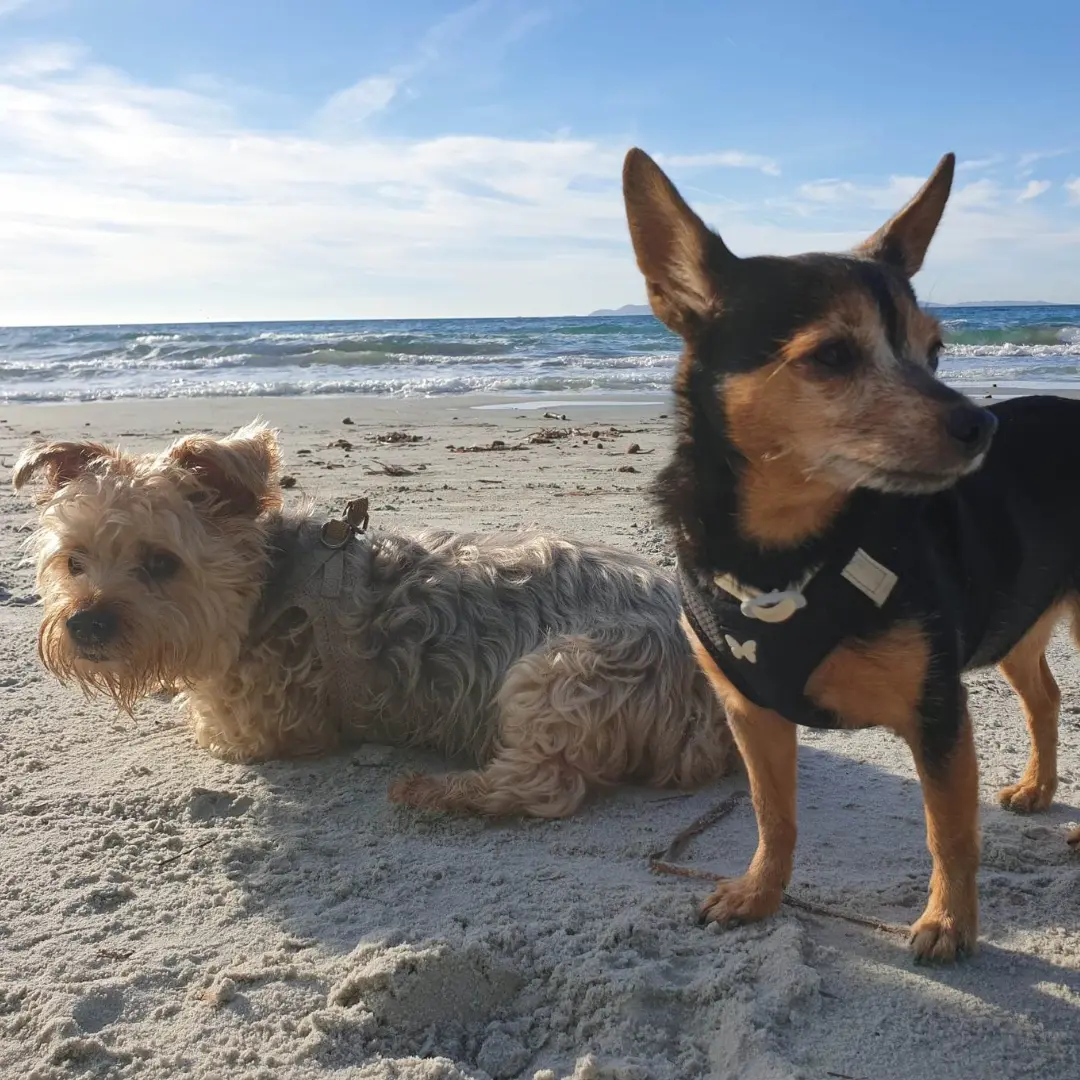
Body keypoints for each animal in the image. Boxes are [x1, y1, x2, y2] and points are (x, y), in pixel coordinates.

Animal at [622, 145, 1080, 963]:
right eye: (833, 355)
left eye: (934, 351)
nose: (982, 426)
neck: (792, 553)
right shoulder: (752, 713)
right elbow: (773, 816)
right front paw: (760, 894)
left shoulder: (938, 715)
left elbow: (949, 832)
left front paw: (949, 923)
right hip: (1015, 621)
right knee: (1046, 695)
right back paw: (1039, 788)